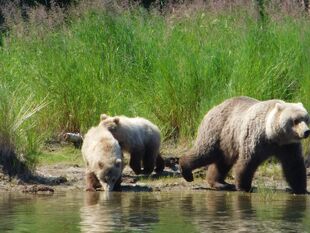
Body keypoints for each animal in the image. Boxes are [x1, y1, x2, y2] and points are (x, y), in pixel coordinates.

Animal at [179, 95, 310, 194]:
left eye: (306, 118)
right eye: (295, 121)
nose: (306, 132)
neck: (273, 135)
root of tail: (214, 107)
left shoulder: (288, 146)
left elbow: (294, 164)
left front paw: (301, 188)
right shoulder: (256, 139)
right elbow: (247, 161)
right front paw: (244, 186)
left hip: (227, 141)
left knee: (222, 161)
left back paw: (220, 183)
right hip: (217, 131)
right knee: (205, 152)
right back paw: (187, 172)